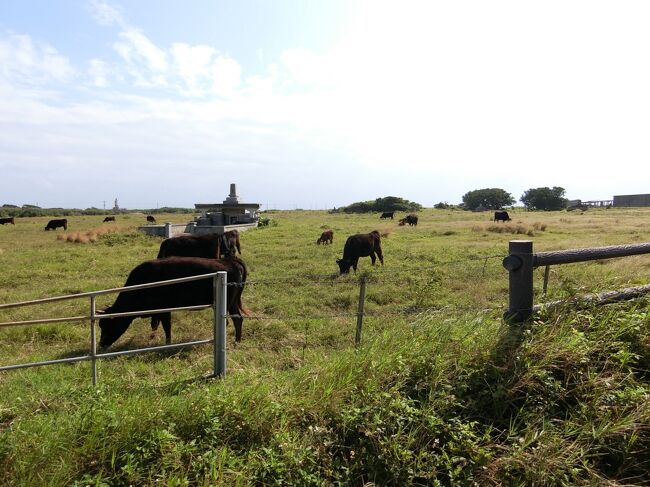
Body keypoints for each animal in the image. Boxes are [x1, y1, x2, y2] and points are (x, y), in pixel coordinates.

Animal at [100, 258, 249, 348]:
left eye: (107, 325)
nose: (101, 344)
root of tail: (231, 261)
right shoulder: (156, 311)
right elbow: (155, 325)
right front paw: (152, 339)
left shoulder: (164, 309)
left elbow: (167, 326)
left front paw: (168, 344)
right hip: (233, 302)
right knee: (238, 319)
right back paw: (237, 341)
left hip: (228, 303)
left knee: (230, 320)